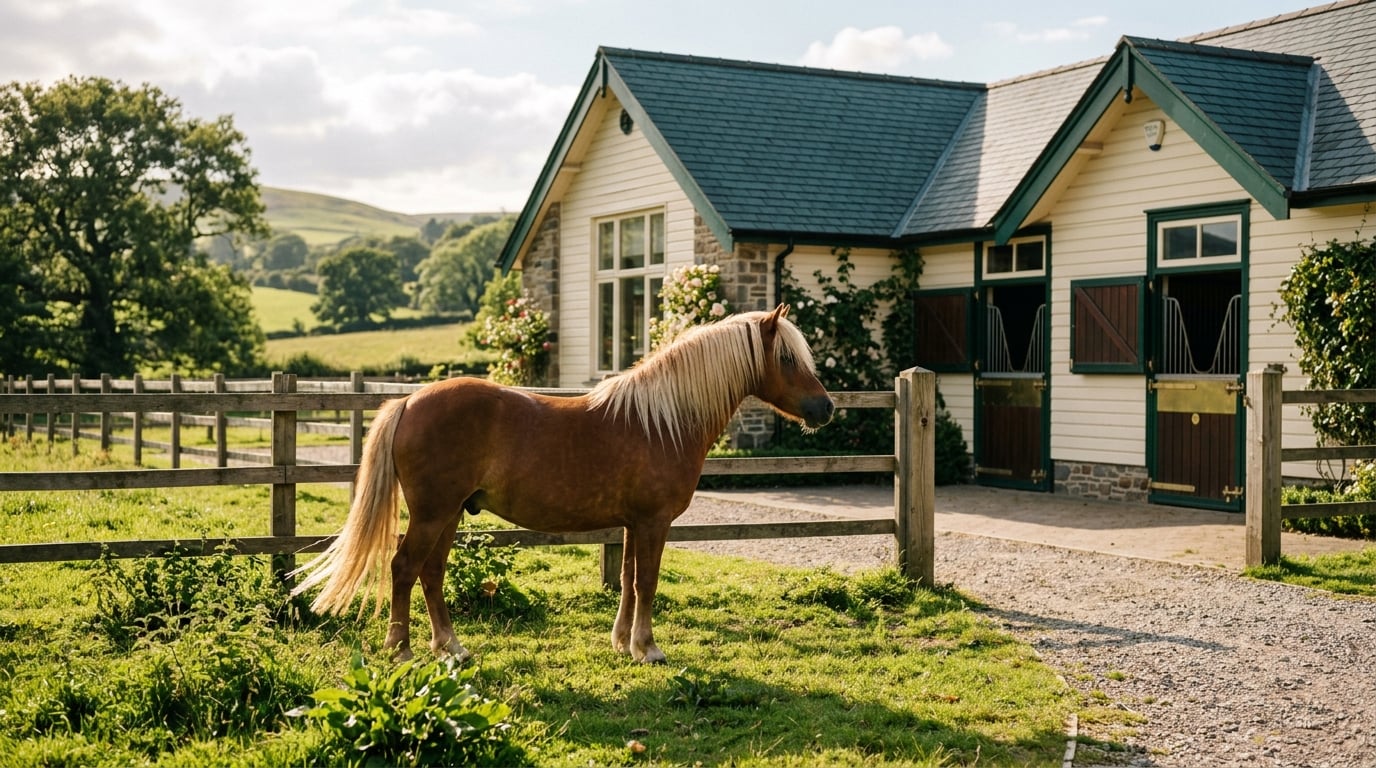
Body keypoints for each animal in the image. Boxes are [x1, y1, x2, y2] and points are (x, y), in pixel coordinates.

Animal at [290, 304, 834, 664]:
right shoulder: (654, 523)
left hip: (447, 515)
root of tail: (410, 400)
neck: (663, 419)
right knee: (404, 568)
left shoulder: (633, 524)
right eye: (787, 358)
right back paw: (401, 652)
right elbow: (648, 582)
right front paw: (648, 649)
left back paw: (451, 647)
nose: (825, 408)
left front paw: (623, 643)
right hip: (433, 513)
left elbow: (628, 582)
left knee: (431, 572)